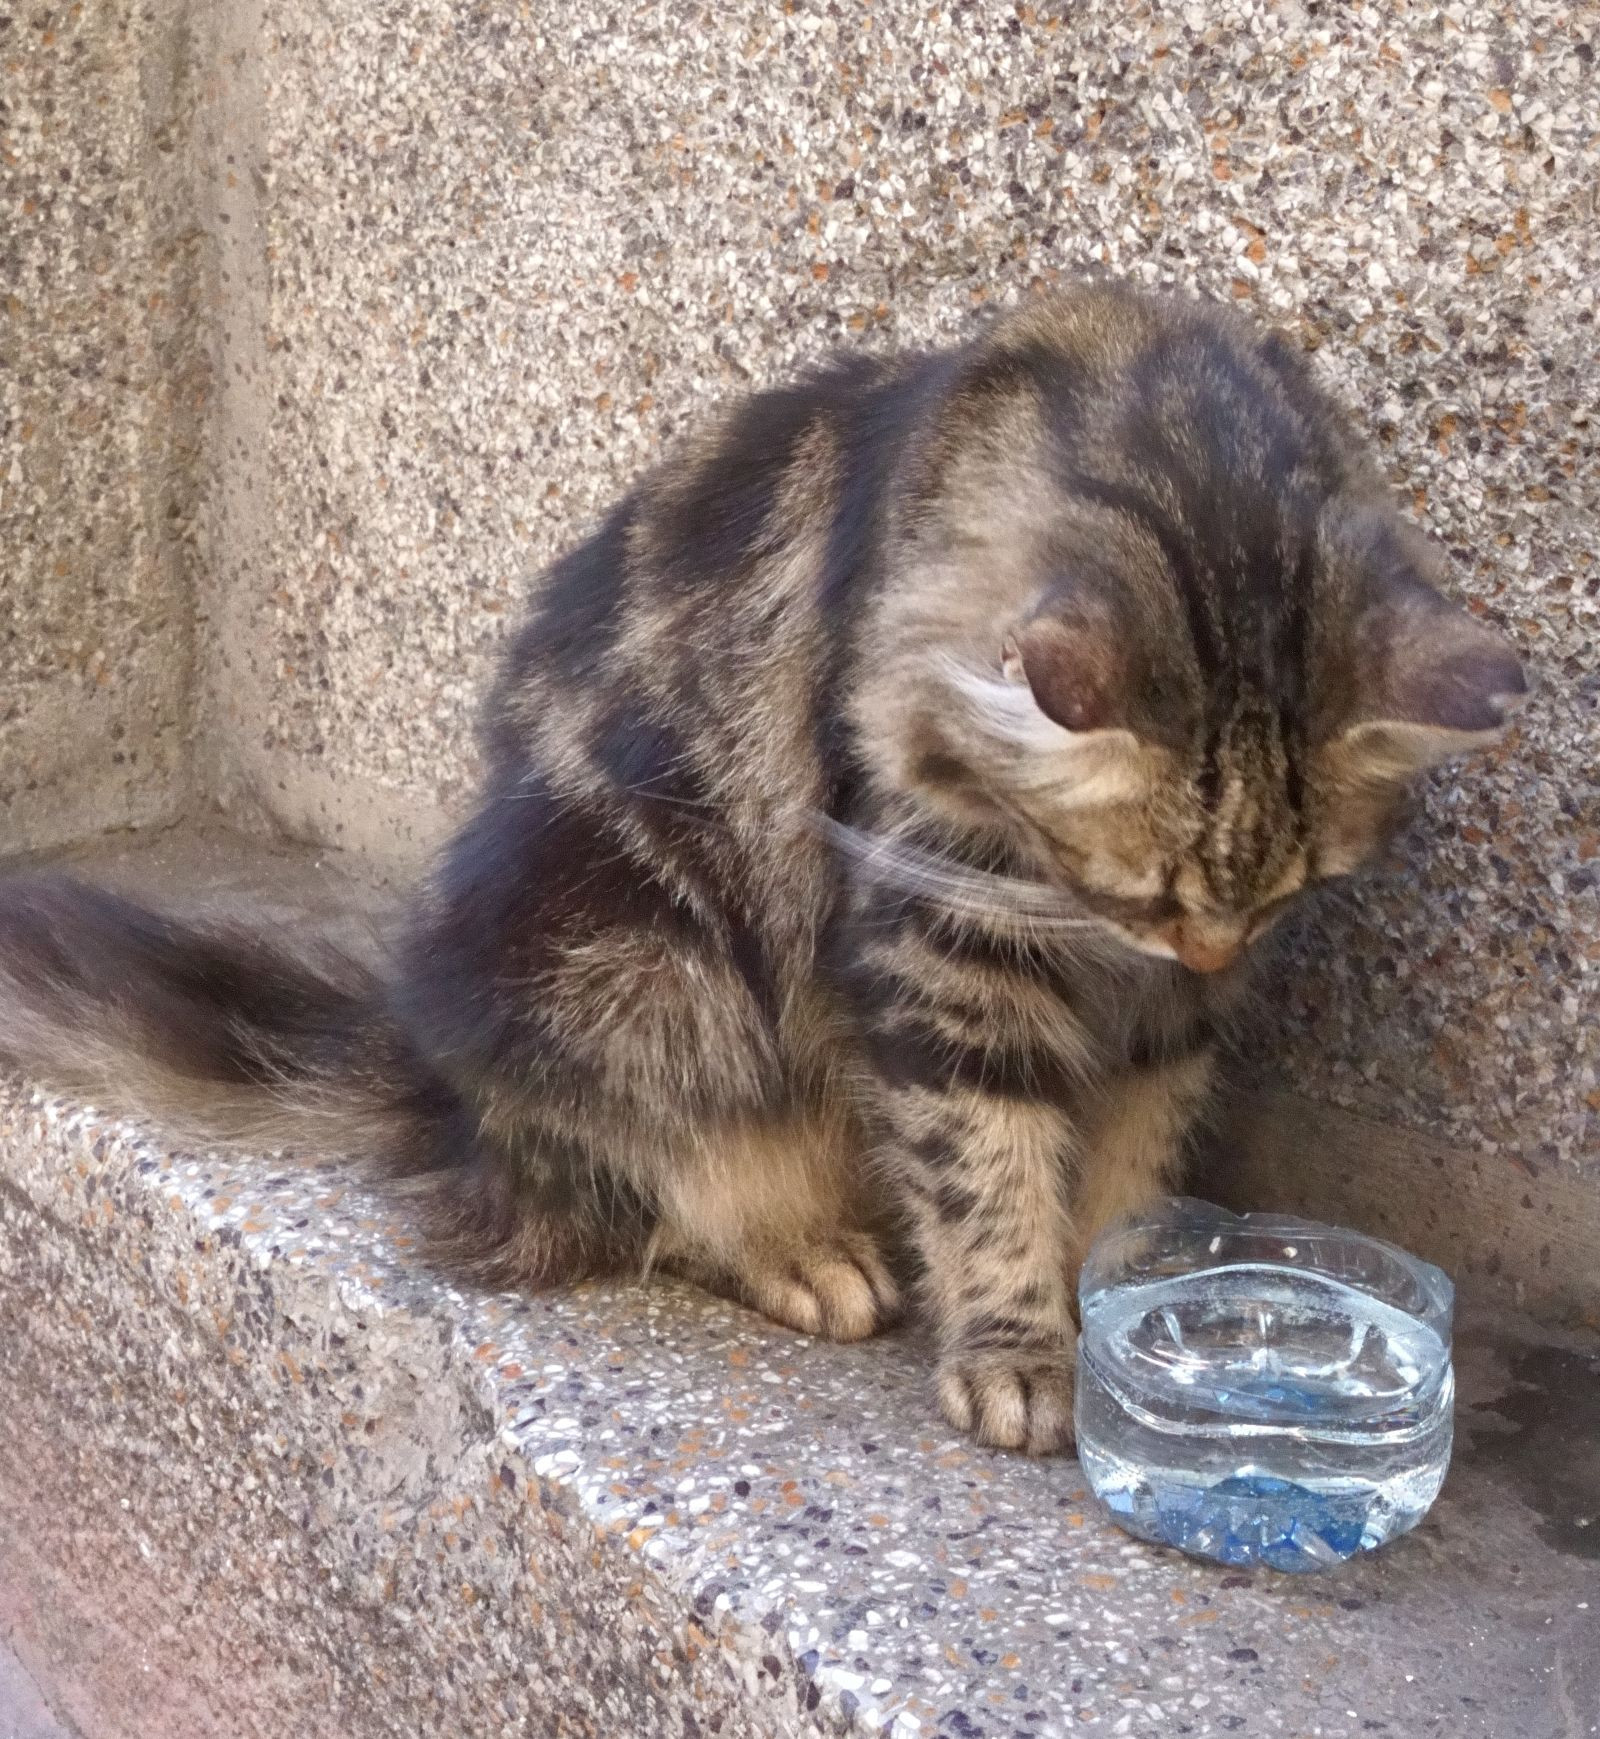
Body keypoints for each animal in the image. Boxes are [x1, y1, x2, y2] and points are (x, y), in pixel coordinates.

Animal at [0, 283, 1525, 1454]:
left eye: (1285, 896)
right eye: (1140, 889)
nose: (1204, 946)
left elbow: (1131, 1163)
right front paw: (1025, 1348)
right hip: (635, 955)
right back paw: (804, 1248)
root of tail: (446, 1088)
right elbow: (985, 1162)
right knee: (653, 1184)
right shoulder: (938, 942)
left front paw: (1126, 1296)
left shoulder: (1168, 1015)